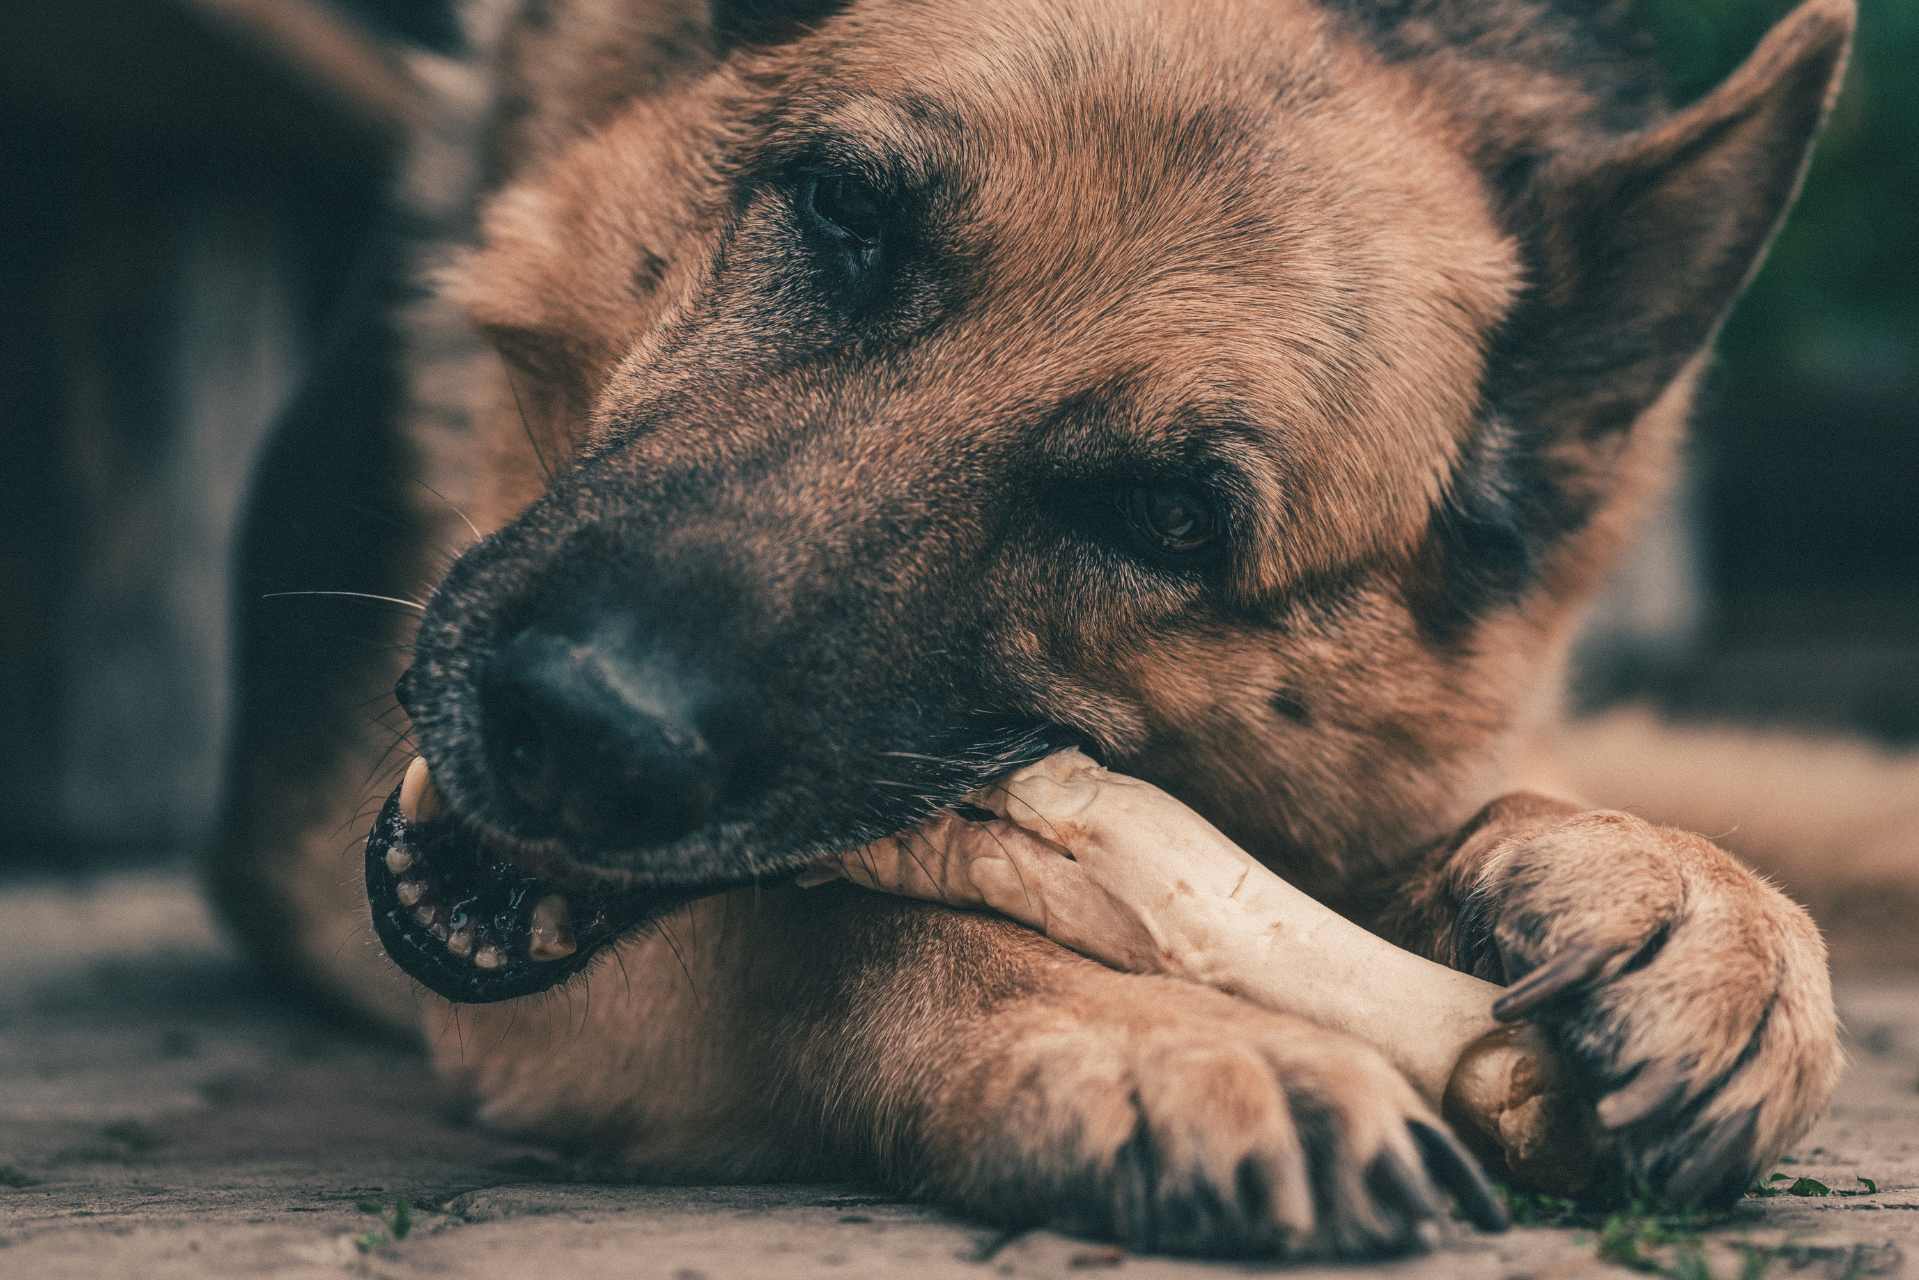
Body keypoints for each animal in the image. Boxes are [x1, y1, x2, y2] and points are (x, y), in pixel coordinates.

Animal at [217, 0, 1865, 1258]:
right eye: (844, 213)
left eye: (1167, 518)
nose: (577, 723)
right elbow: (831, 927)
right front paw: (1164, 1033)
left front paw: (1687, 900)